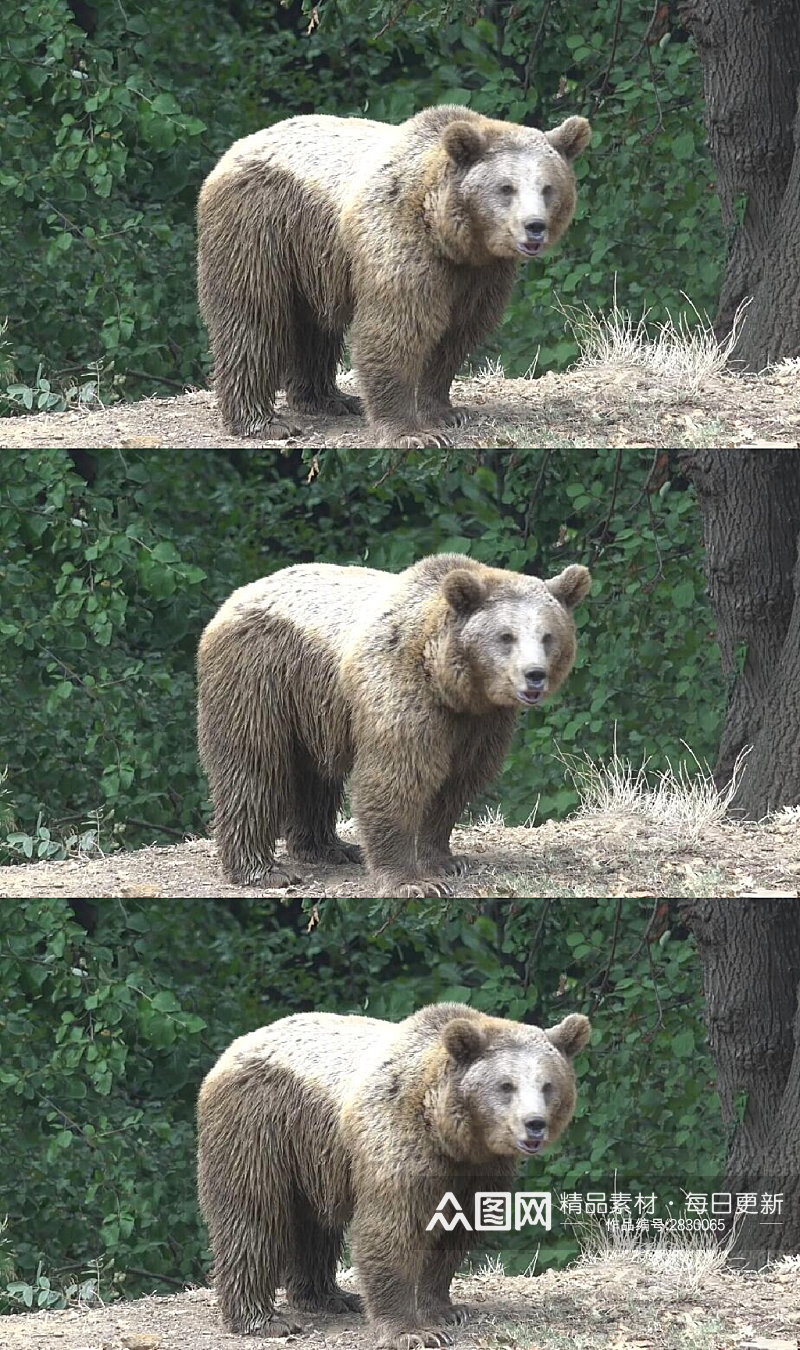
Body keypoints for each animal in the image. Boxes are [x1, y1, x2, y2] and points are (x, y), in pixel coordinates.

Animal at [196, 105, 590, 450]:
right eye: (506, 187)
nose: (534, 226)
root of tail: (238, 146)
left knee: (314, 327)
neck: (451, 237)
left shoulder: (483, 273)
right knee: (252, 316)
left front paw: (446, 411)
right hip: (259, 226)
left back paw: (330, 399)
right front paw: (411, 432)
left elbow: (458, 331)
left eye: (548, 187)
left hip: (312, 260)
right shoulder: (399, 240)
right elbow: (396, 328)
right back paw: (263, 421)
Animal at [196, 553, 590, 901]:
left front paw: (446, 860)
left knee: (314, 775)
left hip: (312, 709)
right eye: (506, 636)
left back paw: (329, 847)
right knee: (252, 765)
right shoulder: (400, 688)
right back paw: (263, 870)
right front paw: (412, 881)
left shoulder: (483, 722)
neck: (451, 685)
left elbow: (458, 780)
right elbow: (396, 777)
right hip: (259, 675)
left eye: (548, 636)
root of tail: (237, 595)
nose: (534, 675)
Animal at [196, 999, 590, 1344]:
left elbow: (455, 1233)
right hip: (259, 1124)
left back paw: (331, 1297)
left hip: (312, 1157)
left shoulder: (481, 1170)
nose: (534, 1124)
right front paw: (414, 1331)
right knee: (252, 1214)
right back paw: (263, 1319)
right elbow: (391, 1228)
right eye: (506, 1085)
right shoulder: (397, 1139)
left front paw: (445, 1309)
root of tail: (237, 1044)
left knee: (314, 1224)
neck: (450, 1135)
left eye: (548, 1085)